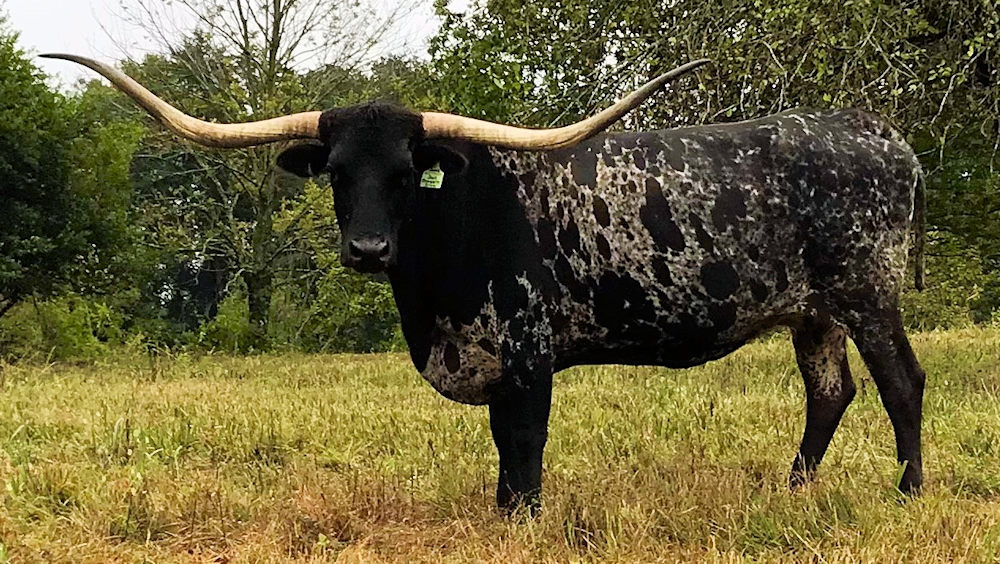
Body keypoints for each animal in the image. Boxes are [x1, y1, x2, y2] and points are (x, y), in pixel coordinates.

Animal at [46, 53, 927, 514]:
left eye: (407, 174)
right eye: (337, 172)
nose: (367, 248)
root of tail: (871, 128)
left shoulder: (529, 350)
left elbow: (525, 438)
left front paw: (525, 517)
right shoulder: (494, 354)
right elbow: (503, 441)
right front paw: (503, 511)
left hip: (867, 290)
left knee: (900, 383)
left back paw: (907, 492)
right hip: (813, 311)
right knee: (830, 391)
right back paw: (793, 490)